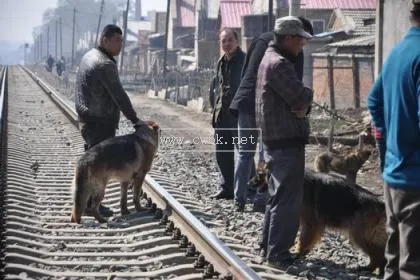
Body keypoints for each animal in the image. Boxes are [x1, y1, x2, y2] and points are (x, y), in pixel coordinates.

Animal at [249, 167, 388, 274]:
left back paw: (369, 268)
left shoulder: (310, 223)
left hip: (360, 236)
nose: (249, 183)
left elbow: (303, 239)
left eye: (259, 174)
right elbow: (308, 240)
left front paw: (297, 253)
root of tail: (381, 204)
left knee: (379, 254)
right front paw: (303, 252)